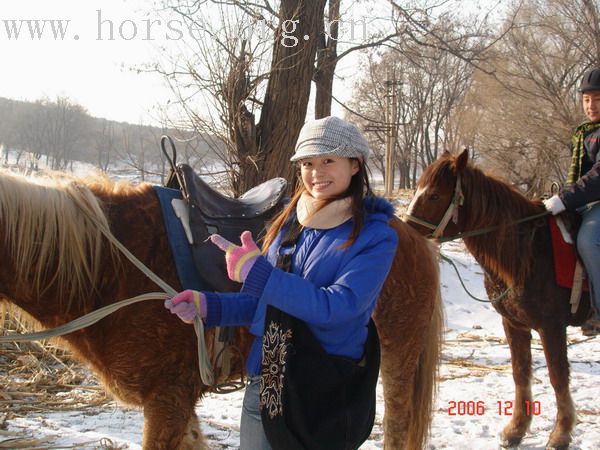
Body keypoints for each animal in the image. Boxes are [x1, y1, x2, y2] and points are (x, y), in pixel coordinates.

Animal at [0, 170, 440, 450]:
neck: (110, 269)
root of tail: (408, 234)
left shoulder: (166, 398)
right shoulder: (177, 404)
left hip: (400, 359)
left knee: (398, 429)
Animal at [404, 150, 592, 450]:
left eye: (434, 195)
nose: (406, 233)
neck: (528, 253)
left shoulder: (551, 327)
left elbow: (558, 376)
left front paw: (561, 433)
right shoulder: (513, 325)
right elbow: (520, 373)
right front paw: (516, 429)